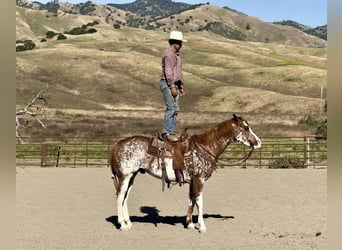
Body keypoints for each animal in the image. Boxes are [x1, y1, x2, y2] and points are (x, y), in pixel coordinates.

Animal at [110, 114, 262, 232]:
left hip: (132, 176)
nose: (259, 142)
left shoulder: (192, 181)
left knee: (125, 198)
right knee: (120, 197)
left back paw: (128, 223)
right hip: (124, 176)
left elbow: (191, 200)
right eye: (246, 128)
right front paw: (202, 226)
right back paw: (122, 225)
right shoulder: (199, 179)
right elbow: (199, 201)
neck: (204, 148)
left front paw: (189, 224)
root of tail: (118, 144)